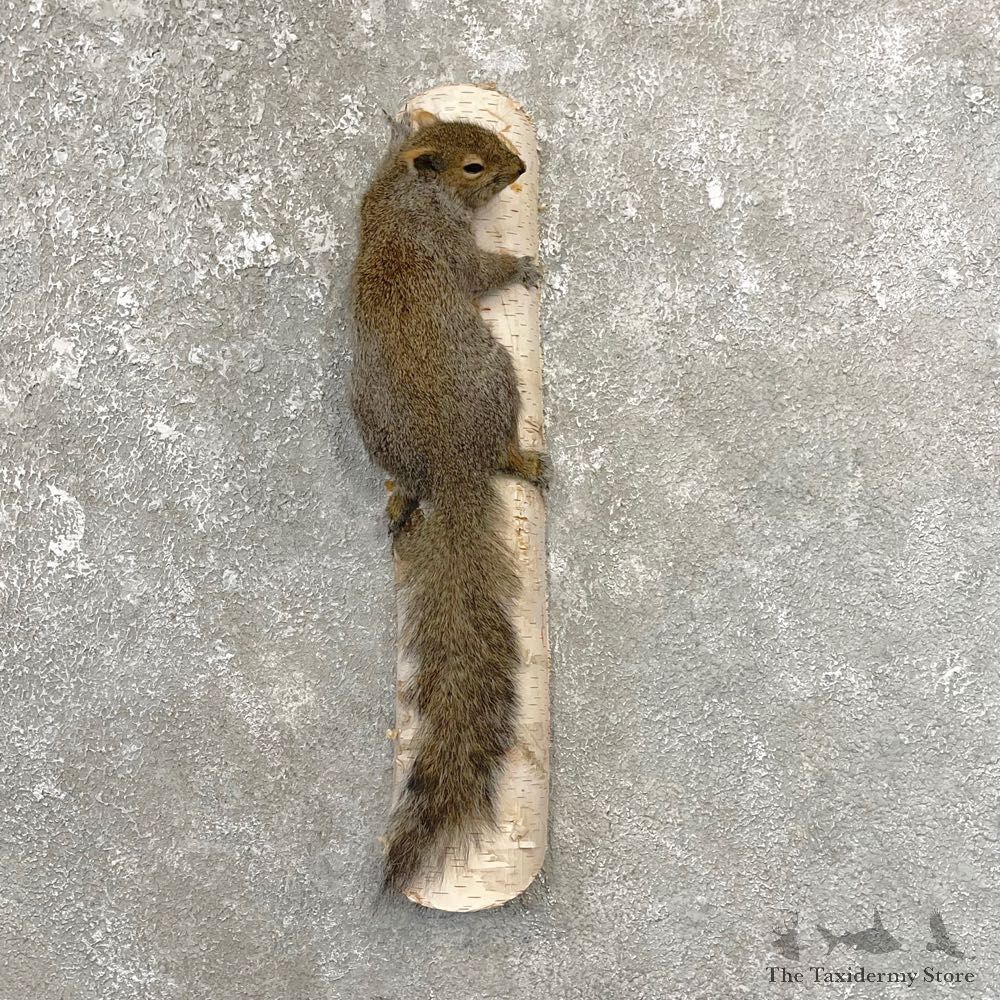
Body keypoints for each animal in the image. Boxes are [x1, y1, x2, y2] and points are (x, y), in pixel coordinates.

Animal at [349, 108, 547, 896]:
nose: (519, 170)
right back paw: (522, 460)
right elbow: (480, 272)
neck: (405, 187)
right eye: (474, 167)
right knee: (503, 452)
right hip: (499, 376)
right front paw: (523, 265)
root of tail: (449, 467)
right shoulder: (452, 251)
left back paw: (402, 502)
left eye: (486, 138)